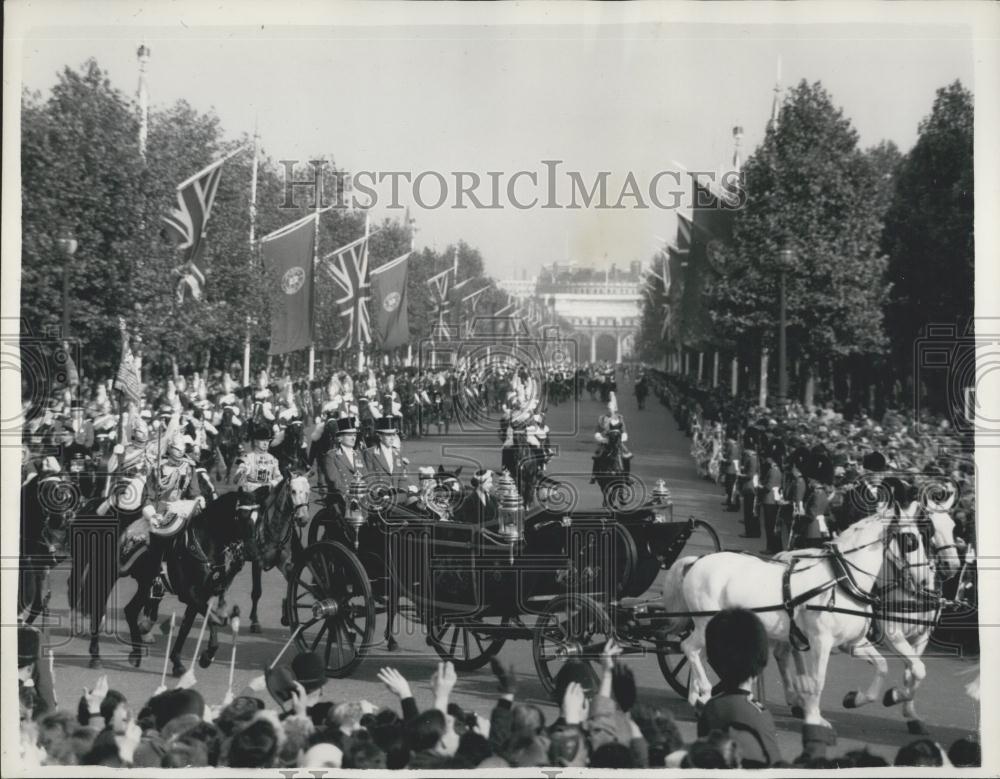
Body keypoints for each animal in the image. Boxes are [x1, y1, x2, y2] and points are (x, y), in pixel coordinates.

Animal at [73, 488, 262, 676]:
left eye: (258, 518)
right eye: (242, 515)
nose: (253, 553)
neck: (202, 542)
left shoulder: (200, 595)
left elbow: (187, 627)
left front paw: (178, 662)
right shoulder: (189, 594)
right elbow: (215, 620)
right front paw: (207, 657)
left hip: (145, 582)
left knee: (130, 610)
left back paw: (136, 653)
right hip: (107, 574)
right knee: (99, 608)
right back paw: (96, 655)